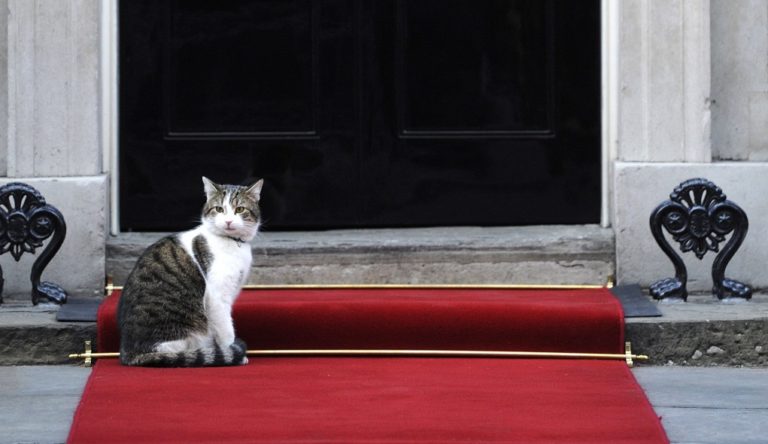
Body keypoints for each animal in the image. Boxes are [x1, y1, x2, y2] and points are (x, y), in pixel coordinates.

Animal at [118, 177, 264, 368]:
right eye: (219, 209)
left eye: (239, 209)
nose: (228, 222)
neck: (233, 243)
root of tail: (128, 353)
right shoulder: (217, 297)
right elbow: (226, 330)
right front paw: (234, 354)